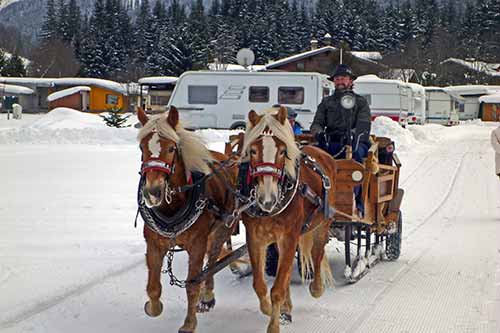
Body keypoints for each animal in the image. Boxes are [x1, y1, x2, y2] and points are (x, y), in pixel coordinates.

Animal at [136, 106, 237, 332]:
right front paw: (152, 306)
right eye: (141, 147)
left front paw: (189, 322)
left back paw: (207, 295)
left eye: (171, 149)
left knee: (212, 260)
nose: (152, 192)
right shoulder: (154, 243)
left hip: (223, 229)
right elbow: (153, 287)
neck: (174, 205)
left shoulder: (197, 245)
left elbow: (192, 284)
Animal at [239, 105, 336, 332]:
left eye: (282, 151)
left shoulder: (290, 237)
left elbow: (277, 288)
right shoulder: (255, 238)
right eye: (253, 150)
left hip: (321, 225)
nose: (267, 199)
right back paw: (286, 308)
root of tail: (320, 151)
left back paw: (316, 288)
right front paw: (270, 309)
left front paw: (273, 325)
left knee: (317, 254)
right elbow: (260, 284)